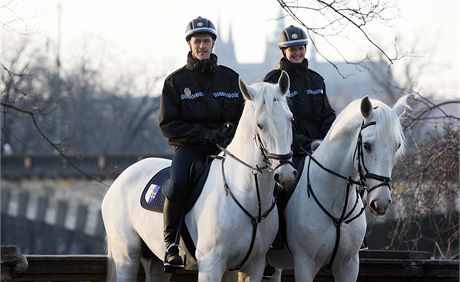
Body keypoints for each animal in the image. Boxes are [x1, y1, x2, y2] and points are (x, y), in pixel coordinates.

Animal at [101, 71, 298, 282]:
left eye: (290, 119)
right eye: (260, 125)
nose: (286, 175)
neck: (249, 197)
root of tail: (121, 177)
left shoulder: (253, 266)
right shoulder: (211, 264)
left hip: (154, 260)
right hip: (127, 257)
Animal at [262, 95, 410, 282]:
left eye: (396, 146)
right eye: (367, 145)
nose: (381, 202)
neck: (337, 207)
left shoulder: (349, 266)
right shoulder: (305, 265)